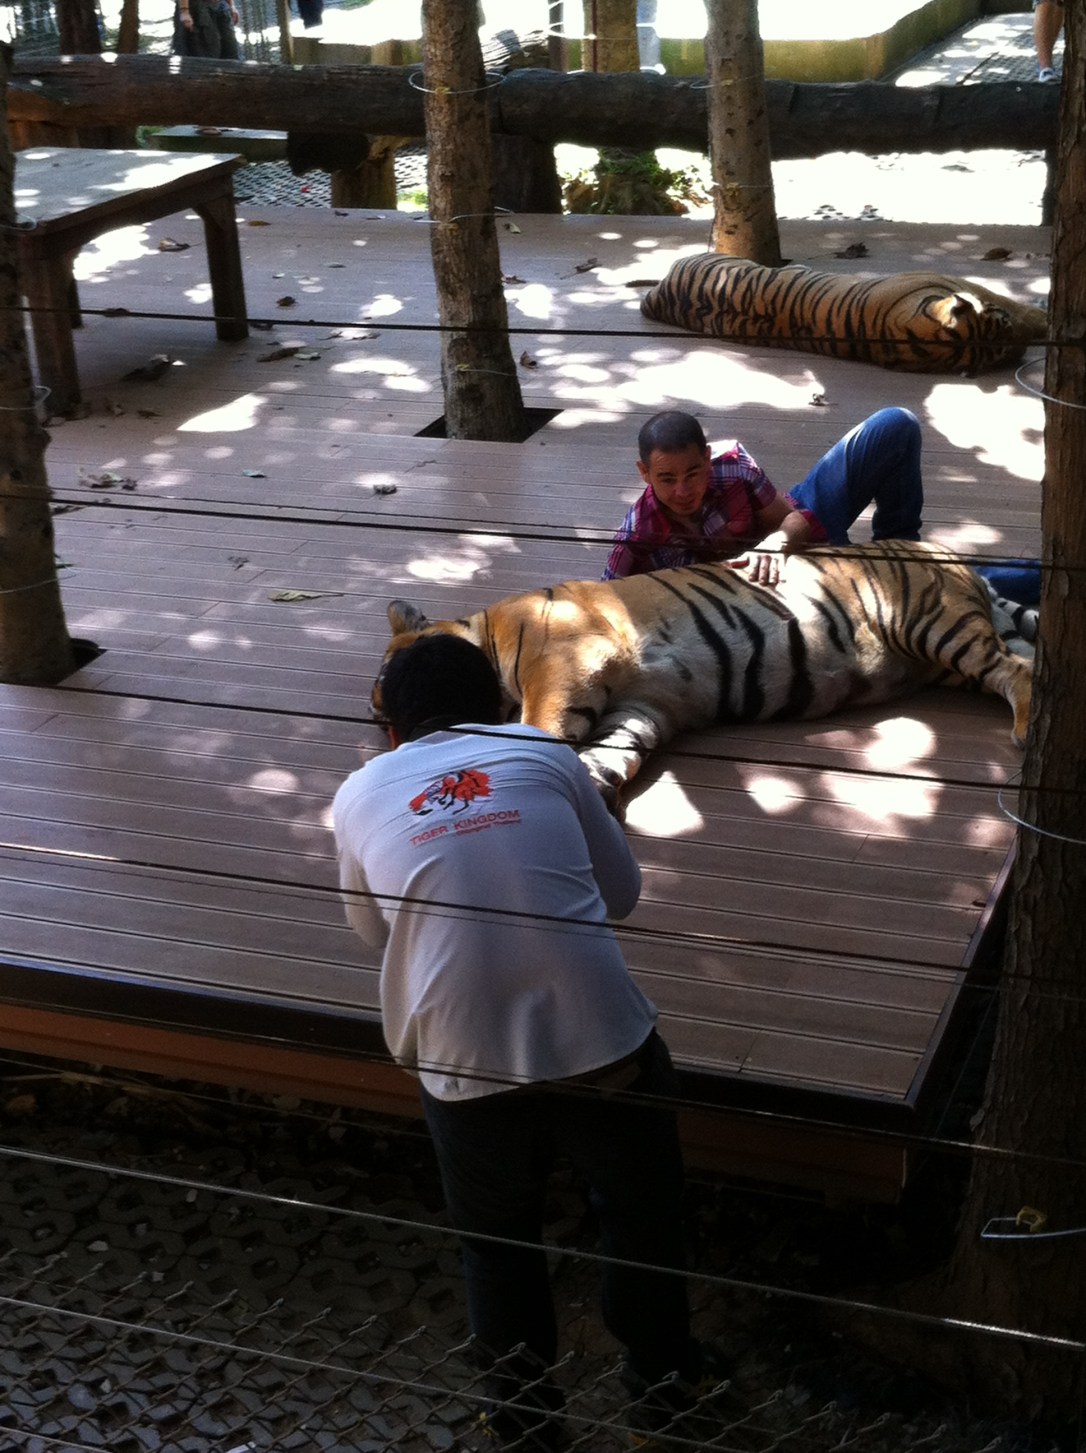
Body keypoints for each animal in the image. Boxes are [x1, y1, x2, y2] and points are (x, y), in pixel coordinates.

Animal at [374, 540, 1032, 808]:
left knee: (1019, 669)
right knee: (1022, 661)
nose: (399, 743)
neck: (483, 632)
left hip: (932, 622)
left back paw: (1027, 730)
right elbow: (603, 759)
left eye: (388, 712)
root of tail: (954, 558)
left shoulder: (562, 664)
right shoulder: (639, 710)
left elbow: (542, 728)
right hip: (953, 653)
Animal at [639, 254, 1048, 374]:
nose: (1021, 351)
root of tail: (660, 292)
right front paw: (1040, 314)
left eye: (998, 355)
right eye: (1000, 324)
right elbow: (1009, 301)